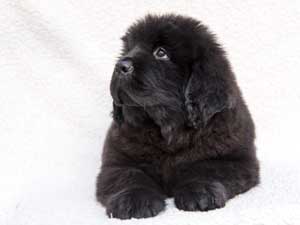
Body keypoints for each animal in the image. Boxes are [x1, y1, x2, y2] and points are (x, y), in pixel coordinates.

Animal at [95, 13, 258, 219]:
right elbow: (129, 176)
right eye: (129, 48)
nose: (120, 65)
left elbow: (207, 168)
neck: (167, 129)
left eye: (161, 53)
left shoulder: (235, 160)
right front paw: (133, 200)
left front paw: (199, 192)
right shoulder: (117, 161)